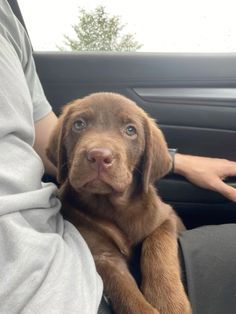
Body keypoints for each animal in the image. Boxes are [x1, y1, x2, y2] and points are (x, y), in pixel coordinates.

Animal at [46, 92, 192, 312]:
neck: (113, 207)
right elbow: (127, 295)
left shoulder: (166, 217)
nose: (98, 156)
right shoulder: (103, 257)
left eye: (130, 130)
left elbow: (159, 250)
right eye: (78, 124)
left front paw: (169, 302)